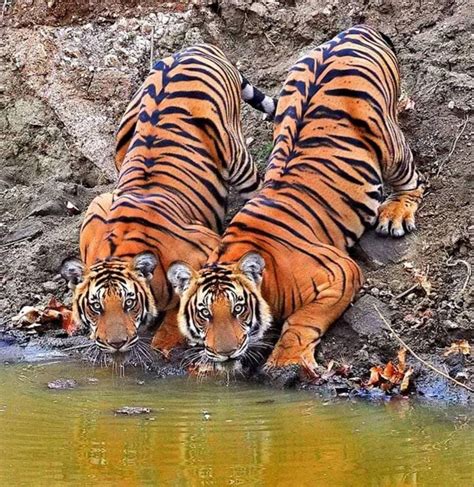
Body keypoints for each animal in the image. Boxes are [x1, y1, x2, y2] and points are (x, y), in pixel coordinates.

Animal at [62, 43, 278, 360]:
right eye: (96, 307)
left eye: (128, 303)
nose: (115, 344)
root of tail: (195, 47)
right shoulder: (97, 207)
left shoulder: (206, 247)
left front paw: (166, 338)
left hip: (238, 159)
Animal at [168, 26, 426, 378]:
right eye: (204, 314)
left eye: (238, 309)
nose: (225, 352)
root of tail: (355, 29)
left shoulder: (341, 273)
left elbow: (302, 322)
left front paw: (283, 363)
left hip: (388, 142)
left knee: (412, 178)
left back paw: (397, 213)